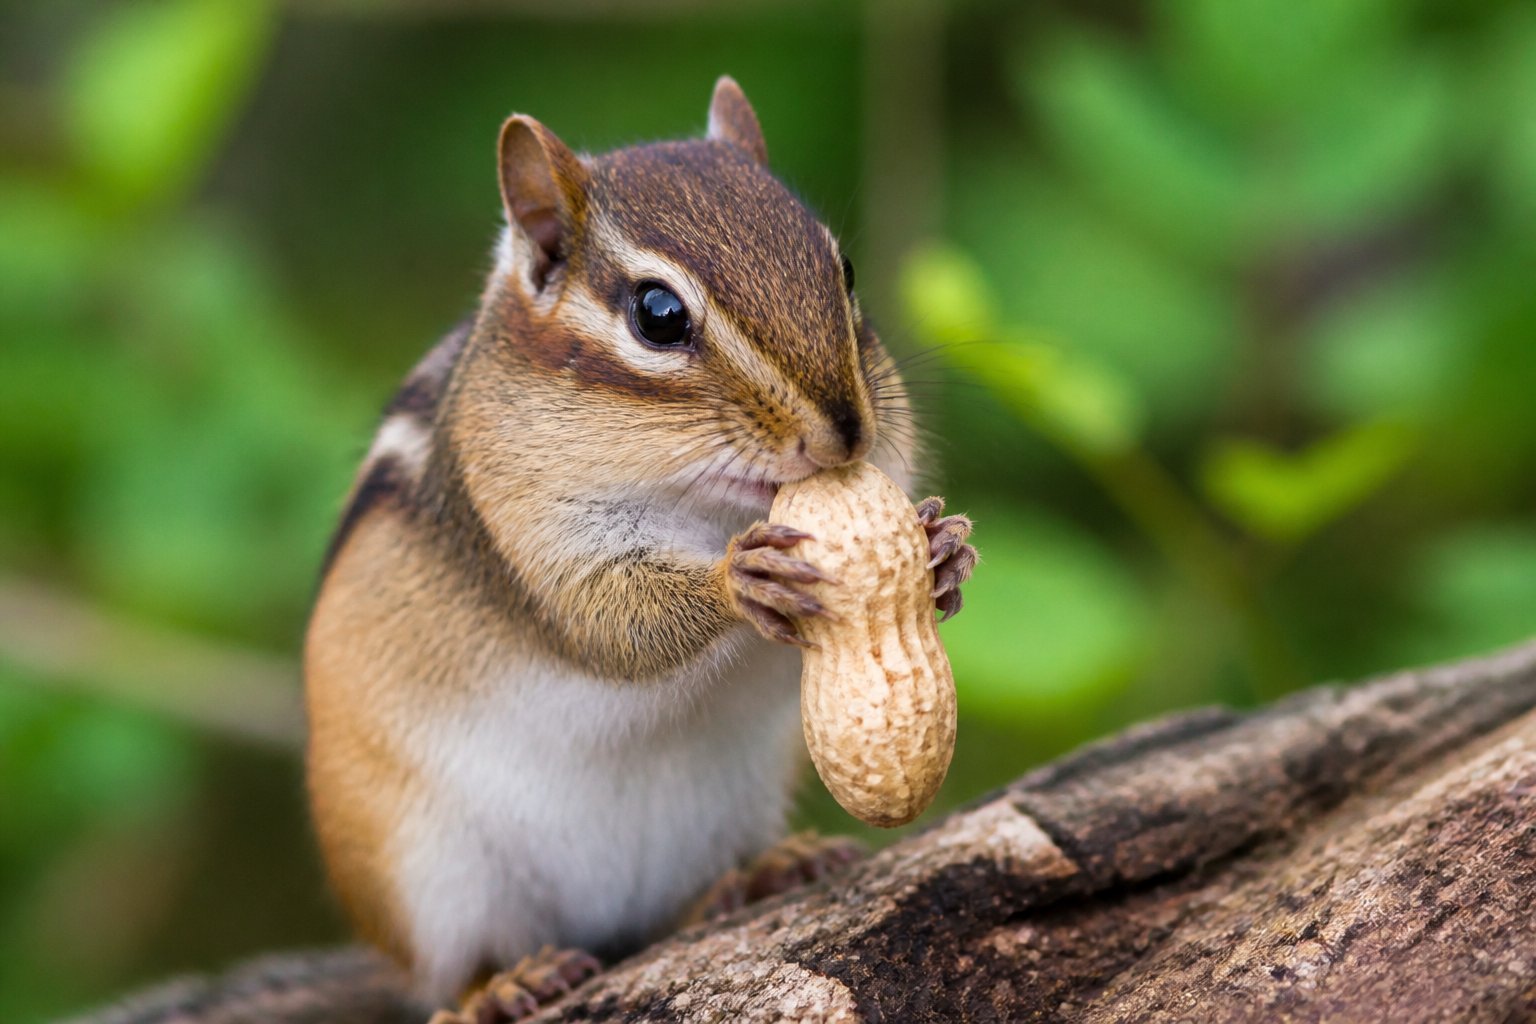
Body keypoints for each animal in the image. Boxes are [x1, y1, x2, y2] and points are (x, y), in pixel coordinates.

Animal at [299, 76, 978, 1023]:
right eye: (658, 315)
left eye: (842, 271)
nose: (847, 435)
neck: (703, 508)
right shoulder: (529, 536)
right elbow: (611, 625)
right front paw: (741, 579)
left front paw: (940, 551)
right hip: (425, 875)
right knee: (451, 972)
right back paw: (504, 984)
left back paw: (762, 873)